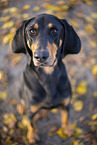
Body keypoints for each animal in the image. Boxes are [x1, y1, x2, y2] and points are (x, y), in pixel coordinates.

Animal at [11, 13, 80, 144]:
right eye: (32, 31)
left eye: (54, 30)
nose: (40, 56)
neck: (48, 77)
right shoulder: (31, 111)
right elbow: (31, 124)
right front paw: (32, 136)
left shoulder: (66, 103)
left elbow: (66, 117)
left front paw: (67, 128)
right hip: (19, 87)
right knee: (21, 100)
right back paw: (22, 107)